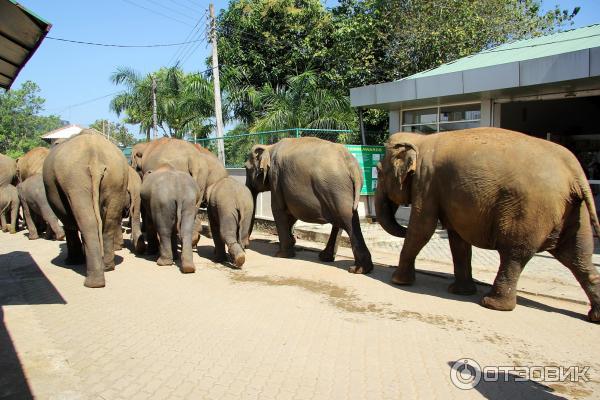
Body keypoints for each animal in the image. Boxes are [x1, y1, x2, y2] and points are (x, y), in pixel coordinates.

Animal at [44, 133, 129, 290]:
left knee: (87, 222)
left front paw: (72, 261)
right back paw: (107, 267)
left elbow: (68, 220)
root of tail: (95, 157)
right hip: (117, 178)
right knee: (109, 221)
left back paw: (93, 282)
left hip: (74, 179)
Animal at [246, 138, 372, 276]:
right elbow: (291, 214)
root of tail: (352, 165)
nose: (246, 245)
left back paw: (358, 269)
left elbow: (279, 210)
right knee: (341, 219)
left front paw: (281, 255)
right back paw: (326, 258)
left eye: (246, 168)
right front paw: (292, 243)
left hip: (335, 188)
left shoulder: (276, 178)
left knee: (347, 219)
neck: (269, 147)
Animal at [376, 126, 600, 324]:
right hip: (576, 212)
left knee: (515, 254)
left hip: (530, 211)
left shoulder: (426, 182)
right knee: (578, 257)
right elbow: (458, 241)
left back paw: (492, 304)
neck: (420, 139)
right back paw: (594, 317)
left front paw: (397, 281)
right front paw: (461, 292)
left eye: (378, 172)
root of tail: (575, 172)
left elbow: (422, 228)